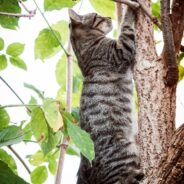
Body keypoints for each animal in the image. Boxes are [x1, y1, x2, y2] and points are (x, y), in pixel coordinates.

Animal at [69, 2, 144, 183]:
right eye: (97, 16)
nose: (109, 17)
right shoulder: (120, 50)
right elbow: (126, 26)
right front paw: (130, 9)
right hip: (124, 150)